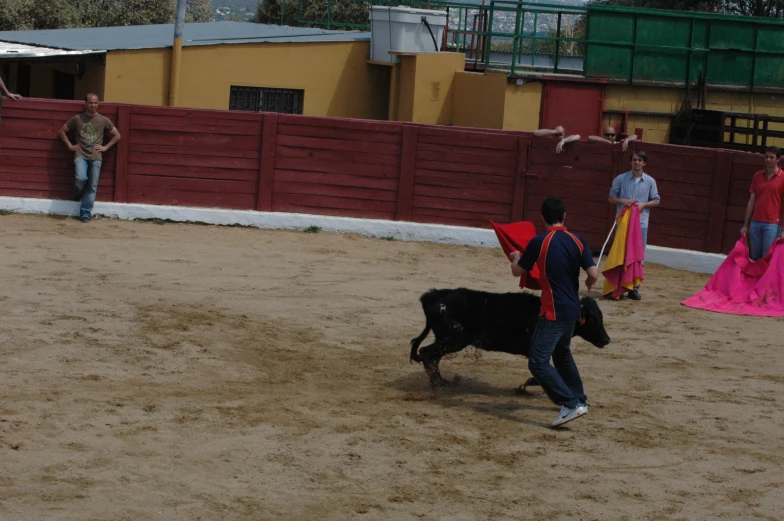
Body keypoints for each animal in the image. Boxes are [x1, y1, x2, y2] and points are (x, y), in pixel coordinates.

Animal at [410, 288, 612, 390]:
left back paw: (442, 381)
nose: (606, 339)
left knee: (432, 356)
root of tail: (431, 296)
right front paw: (527, 384)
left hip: (448, 340)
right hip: (454, 339)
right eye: (593, 320)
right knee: (426, 353)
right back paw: (438, 384)